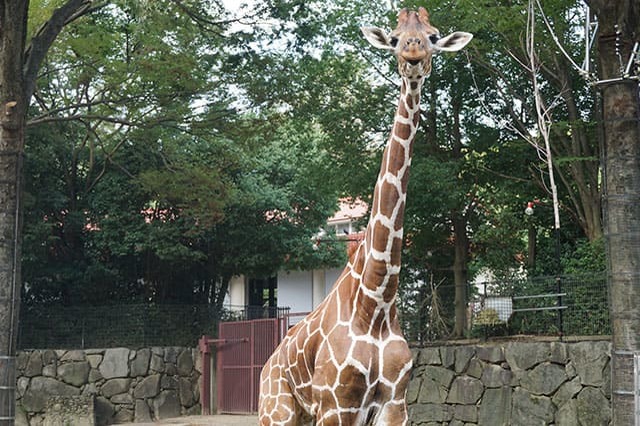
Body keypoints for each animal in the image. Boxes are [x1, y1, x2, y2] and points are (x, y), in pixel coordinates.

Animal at [258, 7, 472, 426]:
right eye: (394, 37)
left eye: (433, 35)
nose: (413, 55)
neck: (376, 302)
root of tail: (267, 364)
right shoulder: (337, 404)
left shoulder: (394, 403)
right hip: (278, 411)